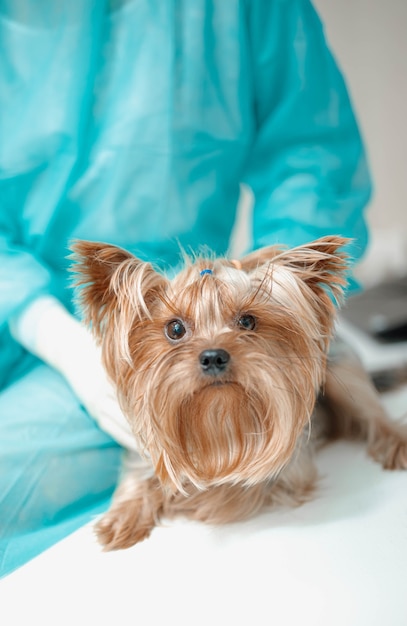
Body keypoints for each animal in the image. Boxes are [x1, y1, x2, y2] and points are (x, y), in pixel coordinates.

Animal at [70, 236, 407, 548]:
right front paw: (123, 514)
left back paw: (395, 443)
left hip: (341, 370)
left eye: (247, 321)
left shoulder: (285, 473)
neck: (219, 419)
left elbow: (235, 487)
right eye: (175, 329)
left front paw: (191, 495)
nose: (213, 356)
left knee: (373, 413)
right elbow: (140, 474)